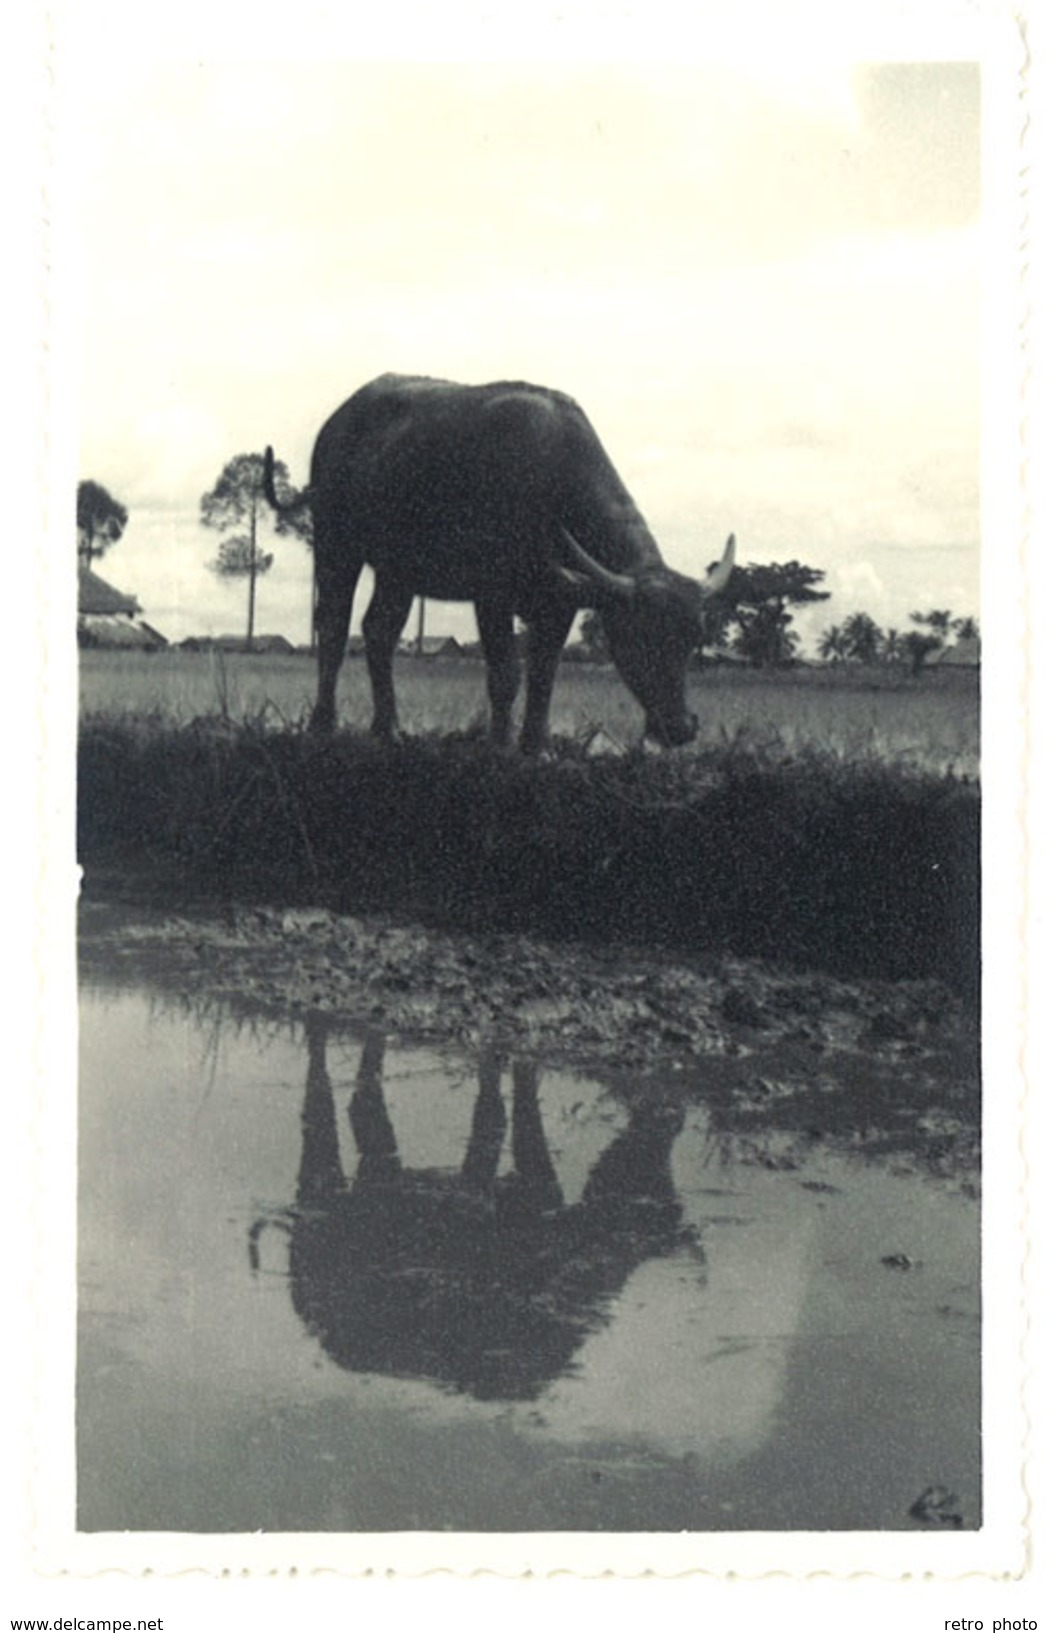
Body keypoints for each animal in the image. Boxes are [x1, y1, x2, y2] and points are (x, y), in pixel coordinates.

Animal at [262, 373, 734, 747]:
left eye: (693, 637)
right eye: (641, 637)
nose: (680, 728)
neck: (550, 480)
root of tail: (337, 423)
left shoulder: (560, 603)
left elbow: (543, 673)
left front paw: (536, 745)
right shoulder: (491, 594)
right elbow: (506, 672)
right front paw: (501, 742)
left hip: (399, 572)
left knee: (379, 631)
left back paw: (389, 729)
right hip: (336, 545)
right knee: (334, 626)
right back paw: (324, 724)